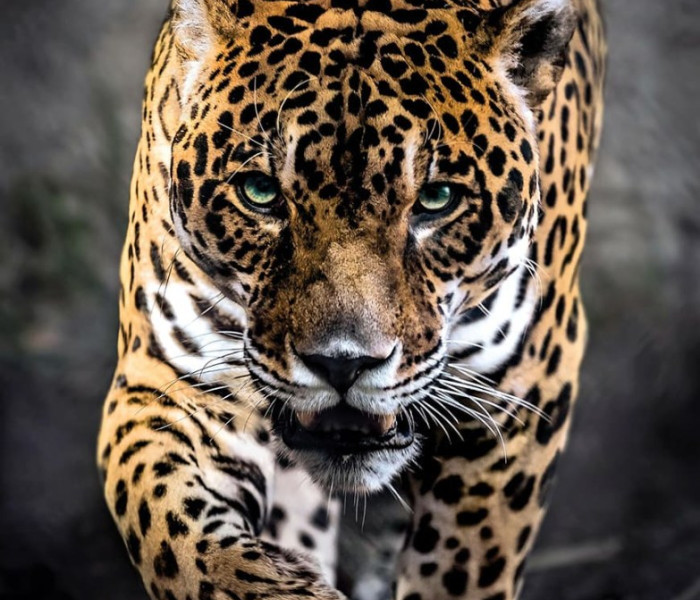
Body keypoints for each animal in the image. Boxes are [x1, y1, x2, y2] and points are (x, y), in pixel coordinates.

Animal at [97, 0, 606, 598]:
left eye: (437, 199)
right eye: (260, 193)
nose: (343, 365)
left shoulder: (518, 397)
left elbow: (462, 567)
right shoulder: (169, 380)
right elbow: (177, 535)